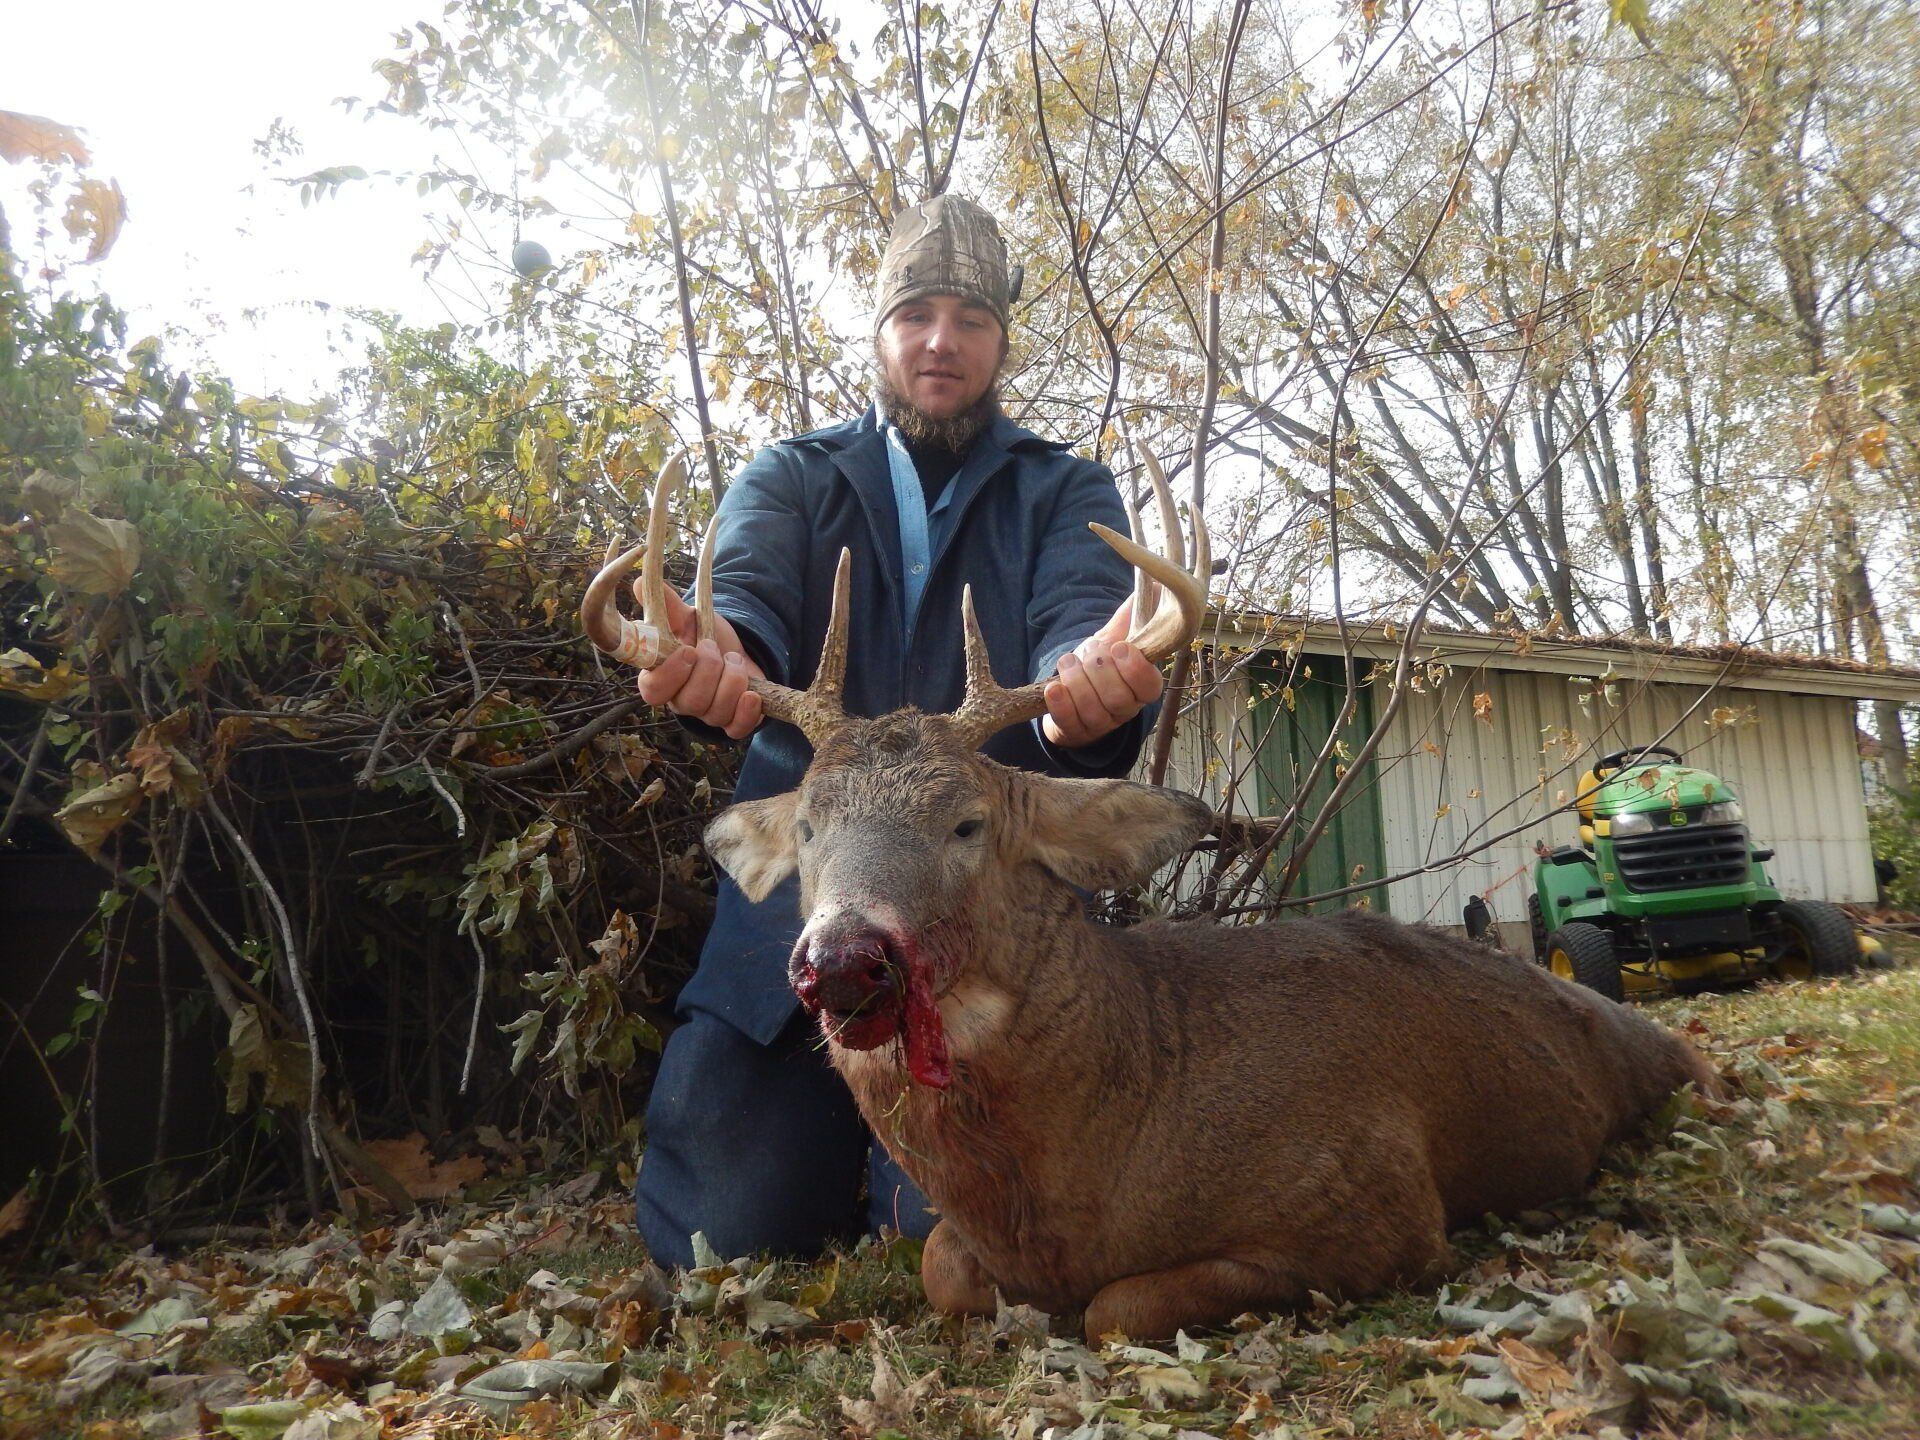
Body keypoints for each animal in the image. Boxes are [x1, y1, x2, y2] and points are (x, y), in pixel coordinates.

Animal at [582, 453, 1720, 1342]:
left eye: (969, 825)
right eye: (811, 828)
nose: (844, 959)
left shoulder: (1372, 1208)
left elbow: (1115, 1307)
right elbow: (943, 1268)